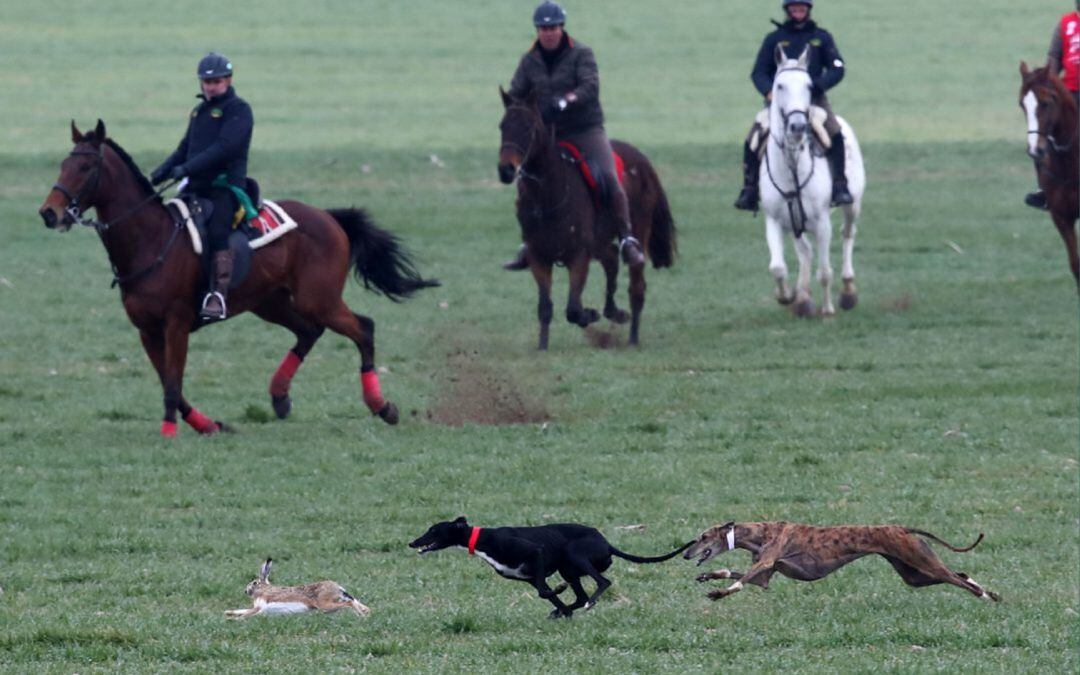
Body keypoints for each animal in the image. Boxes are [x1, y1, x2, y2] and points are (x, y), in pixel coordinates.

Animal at [39, 119, 438, 436]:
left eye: (86, 165)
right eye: (63, 163)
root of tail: (328, 217)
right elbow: (171, 384)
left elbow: (172, 384)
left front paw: (169, 433)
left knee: (363, 329)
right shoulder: (148, 330)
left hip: (318, 299)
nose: (49, 212)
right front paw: (208, 425)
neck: (152, 239)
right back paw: (279, 397)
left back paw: (382, 406)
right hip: (270, 302)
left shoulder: (176, 324)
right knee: (309, 332)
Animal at [496, 87, 673, 347]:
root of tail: (643, 162)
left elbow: (572, 308)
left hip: (637, 232)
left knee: (636, 287)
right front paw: (542, 347)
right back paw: (614, 312)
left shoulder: (579, 255)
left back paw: (632, 338)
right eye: (502, 126)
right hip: (599, 243)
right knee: (611, 258)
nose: (506, 170)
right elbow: (545, 307)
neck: (549, 195)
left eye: (528, 128)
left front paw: (589, 314)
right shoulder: (539, 256)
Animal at [760, 47, 868, 315]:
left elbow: (825, 272)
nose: (798, 125)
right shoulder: (774, 220)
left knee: (847, 233)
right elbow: (777, 267)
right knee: (806, 252)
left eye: (809, 85)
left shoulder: (822, 223)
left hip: (852, 205)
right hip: (796, 222)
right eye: (779, 85)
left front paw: (827, 310)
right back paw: (803, 298)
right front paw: (787, 296)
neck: (791, 167)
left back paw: (848, 292)